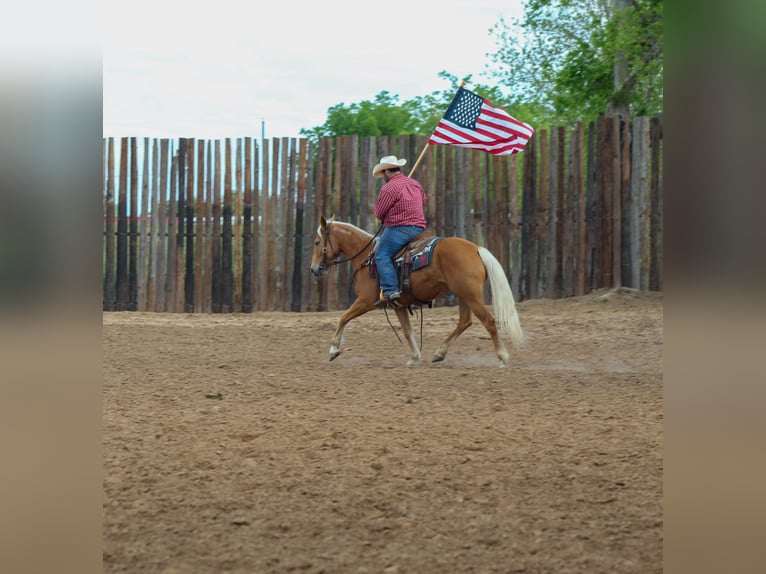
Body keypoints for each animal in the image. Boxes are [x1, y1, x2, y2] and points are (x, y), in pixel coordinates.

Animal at [308, 216, 524, 368]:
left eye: (317, 242)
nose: (314, 269)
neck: (366, 256)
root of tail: (476, 248)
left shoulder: (366, 300)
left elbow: (343, 318)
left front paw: (333, 349)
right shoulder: (399, 306)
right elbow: (407, 330)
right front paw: (414, 357)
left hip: (470, 296)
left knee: (488, 321)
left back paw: (502, 357)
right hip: (464, 295)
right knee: (465, 322)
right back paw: (439, 353)